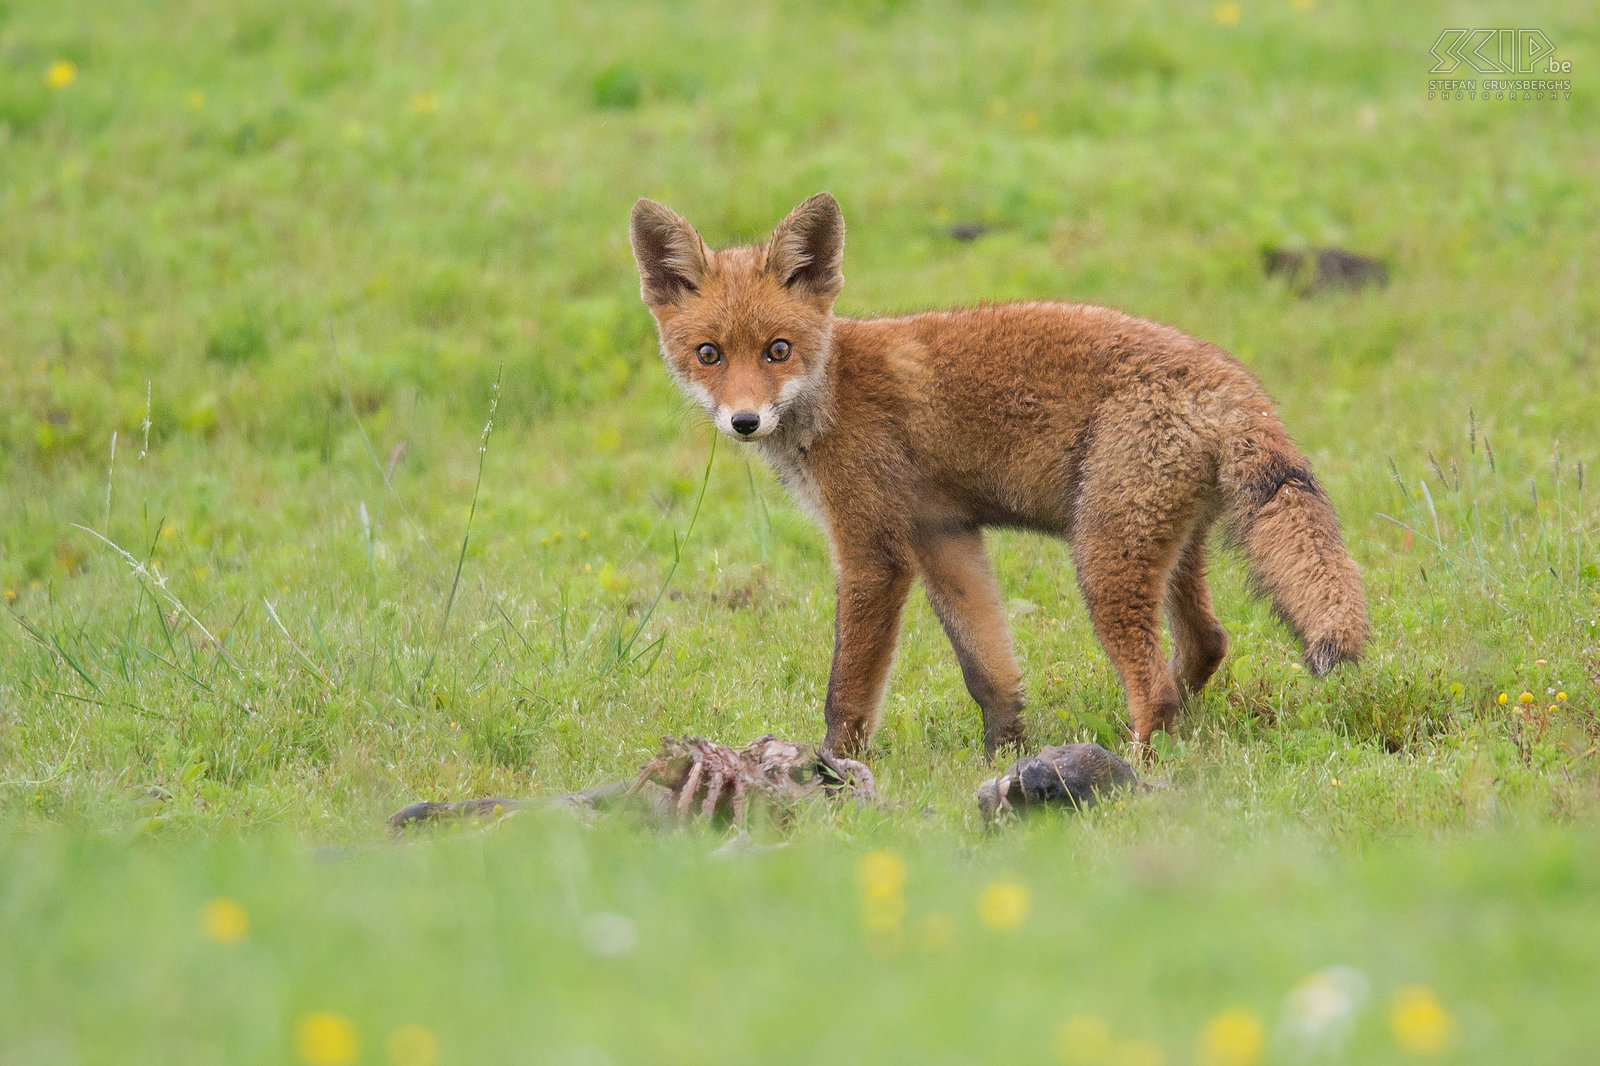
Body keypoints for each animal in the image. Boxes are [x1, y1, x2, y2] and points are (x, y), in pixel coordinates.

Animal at [630, 191, 1369, 755]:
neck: (832, 394)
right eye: (708, 355)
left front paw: (834, 773)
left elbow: (848, 693)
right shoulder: (943, 536)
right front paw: (1004, 754)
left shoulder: (875, 553)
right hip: (1170, 550)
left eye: (777, 350)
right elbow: (989, 671)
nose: (744, 421)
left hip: (1101, 560)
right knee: (1209, 643)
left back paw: (1137, 771)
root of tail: (1228, 379)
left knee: (1154, 686)